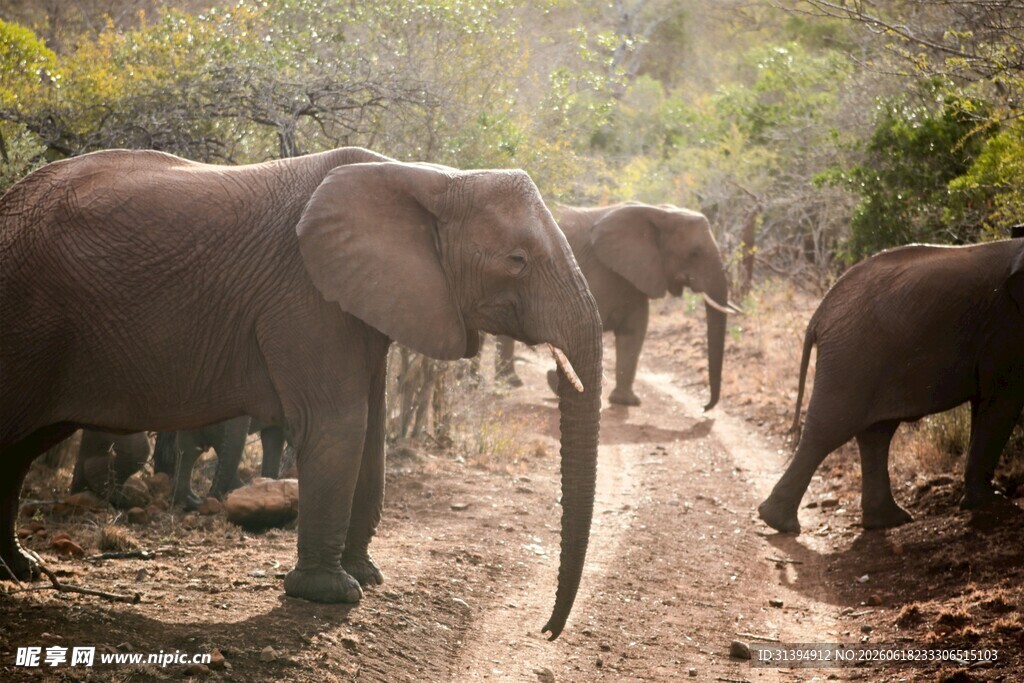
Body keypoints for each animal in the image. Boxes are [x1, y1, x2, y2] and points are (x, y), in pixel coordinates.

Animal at [0, 146, 602, 639]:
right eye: (517, 261)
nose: (546, 631)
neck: (427, 176)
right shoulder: (305, 297)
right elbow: (337, 426)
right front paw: (331, 594)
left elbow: (371, 430)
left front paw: (364, 576)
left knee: (20, 448)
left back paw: (23, 568)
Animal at [498, 202, 739, 408]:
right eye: (694, 253)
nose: (705, 407)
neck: (659, 212)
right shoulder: (594, 272)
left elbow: (634, 334)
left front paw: (626, 401)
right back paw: (510, 382)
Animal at [758, 239, 1024, 534]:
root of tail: (819, 313)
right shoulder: (1005, 327)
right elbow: (1003, 400)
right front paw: (993, 502)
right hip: (853, 353)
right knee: (830, 428)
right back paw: (780, 523)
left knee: (875, 433)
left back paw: (887, 520)